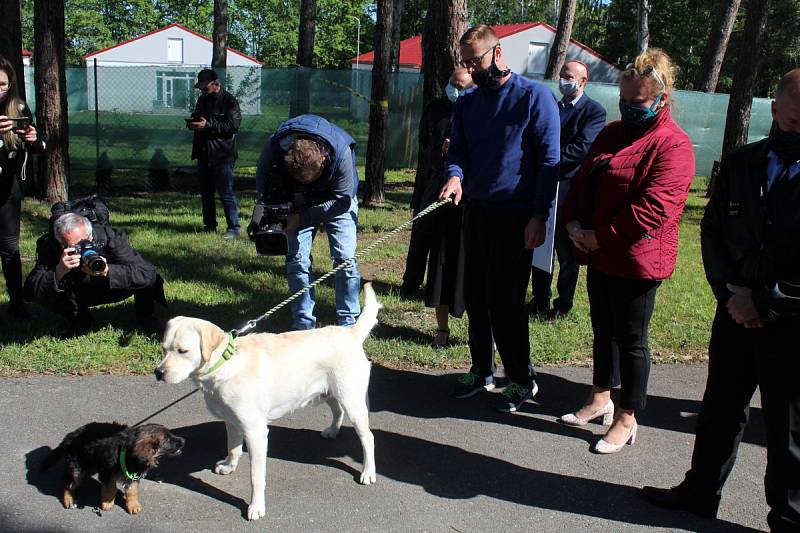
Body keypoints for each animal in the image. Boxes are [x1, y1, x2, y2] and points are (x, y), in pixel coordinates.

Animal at [41, 422, 184, 512]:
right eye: (167, 440)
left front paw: (133, 505)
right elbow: (111, 488)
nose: (183, 441)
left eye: (171, 435)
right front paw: (107, 502)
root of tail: (70, 436)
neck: (127, 452)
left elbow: (132, 490)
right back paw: (69, 499)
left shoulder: (133, 475)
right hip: (77, 467)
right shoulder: (107, 473)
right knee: (68, 483)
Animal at [158, 282, 382, 520]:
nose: (158, 372)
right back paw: (332, 430)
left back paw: (368, 472)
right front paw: (229, 465)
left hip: (352, 401)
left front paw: (256, 506)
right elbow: (232, 448)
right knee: (337, 410)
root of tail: (351, 333)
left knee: (368, 438)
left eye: (183, 351)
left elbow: (256, 477)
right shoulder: (231, 422)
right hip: (328, 392)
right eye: (163, 348)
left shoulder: (256, 433)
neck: (226, 364)